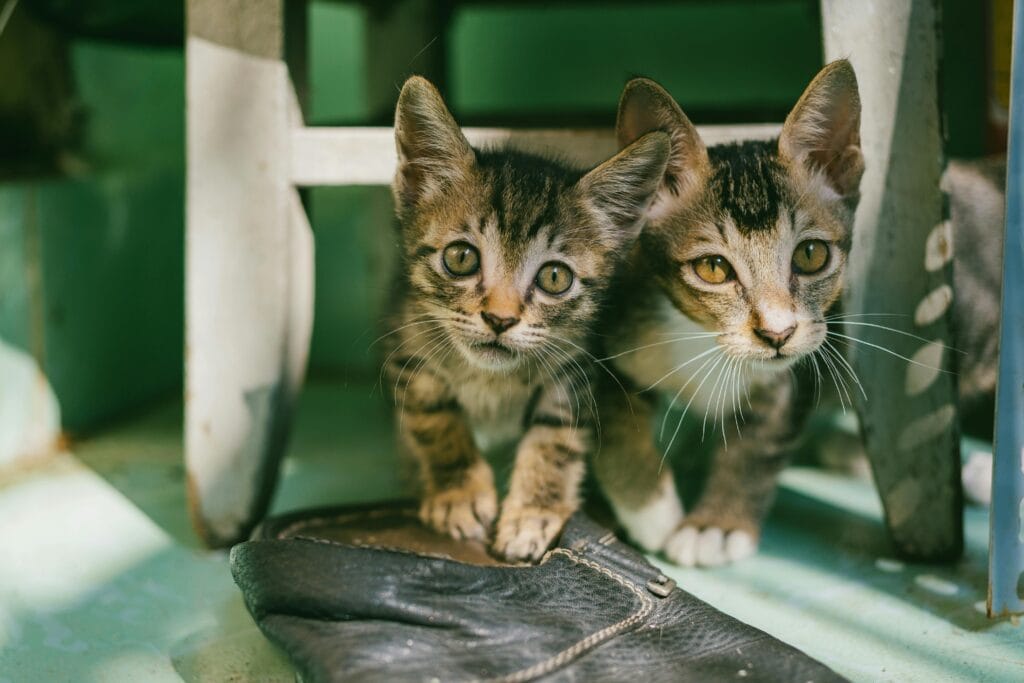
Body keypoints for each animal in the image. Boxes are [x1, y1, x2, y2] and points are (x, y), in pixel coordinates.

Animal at [385, 77, 671, 565]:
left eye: (554, 277)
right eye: (461, 258)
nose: (499, 319)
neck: (492, 379)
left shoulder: (575, 368)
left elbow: (554, 440)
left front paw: (534, 513)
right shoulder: (406, 348)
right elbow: (433, 418)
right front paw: (459, 494)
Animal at [593, 62, 864, 565]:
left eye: (811, 255)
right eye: (714, 268)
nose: (777, 333)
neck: (709, 343)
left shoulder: (795, 375)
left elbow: (756, 447)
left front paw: (715, 525)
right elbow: (616, 425)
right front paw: (653, 511)